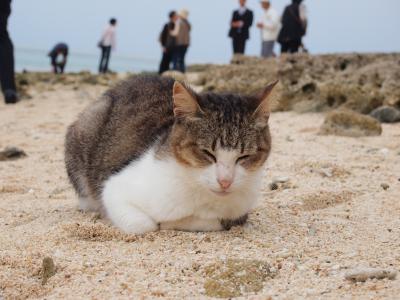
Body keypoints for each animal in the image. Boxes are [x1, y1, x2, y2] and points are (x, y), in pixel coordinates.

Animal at [65, 75, 278, 234]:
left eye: (244, 156)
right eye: (207, 153)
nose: (225, 181)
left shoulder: (238, 213)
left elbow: (216, 221)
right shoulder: (114, 188)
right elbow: (144, 225)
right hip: (87, 125)